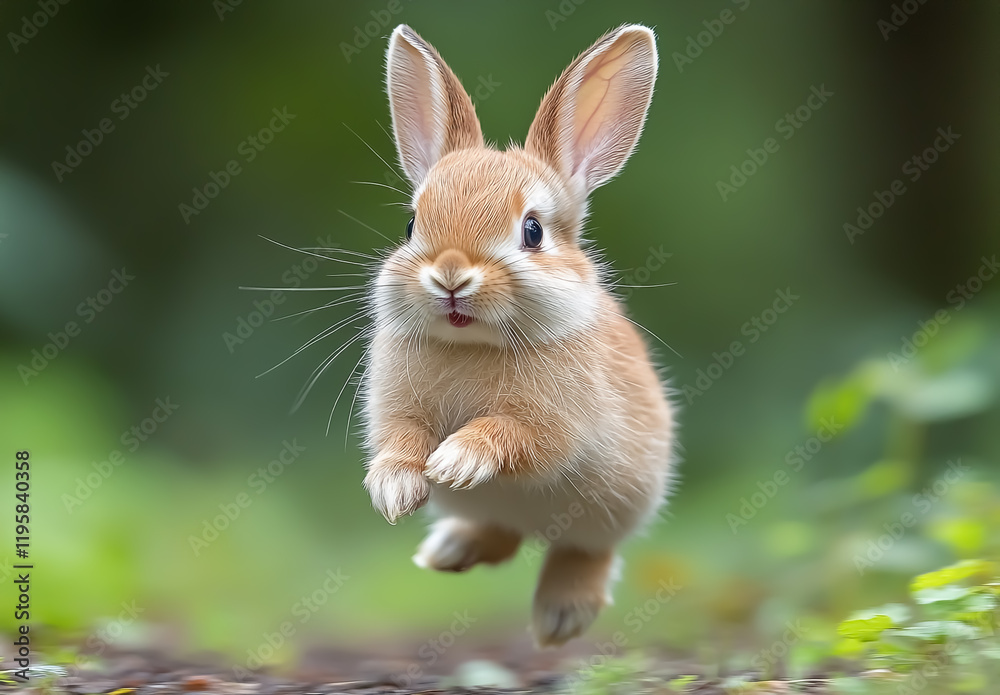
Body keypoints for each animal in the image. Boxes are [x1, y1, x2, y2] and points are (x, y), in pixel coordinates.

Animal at [361, 23, 675, 647]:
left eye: (532, 231)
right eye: (410, 225)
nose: (450, 275)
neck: (473, 345)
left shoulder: (556, 425)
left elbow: (512, 435)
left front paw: (454, 462)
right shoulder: (396, 412)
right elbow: (400, 440)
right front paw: (397, 489)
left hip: (614, 505)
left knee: (585, 551)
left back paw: (560, 617)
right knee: (501, 536)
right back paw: (447, 550)